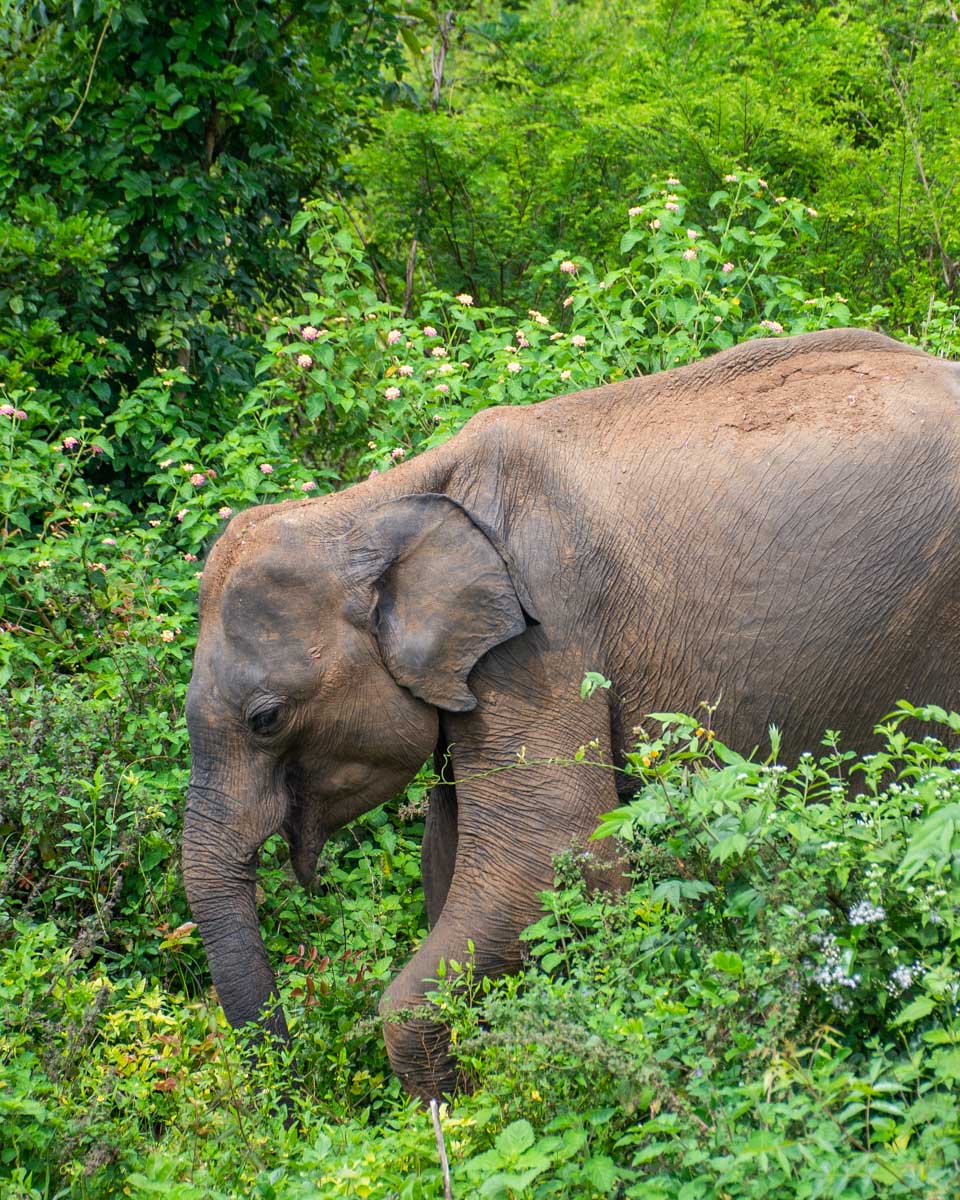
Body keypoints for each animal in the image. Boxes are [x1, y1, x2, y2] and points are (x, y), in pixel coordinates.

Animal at [183, 327, 960, 1100]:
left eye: (265, 718)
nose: (291, 1084)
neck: (381, 499)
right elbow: (450, 857)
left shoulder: (543, 636)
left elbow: (550, 855)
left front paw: (452, 1113)